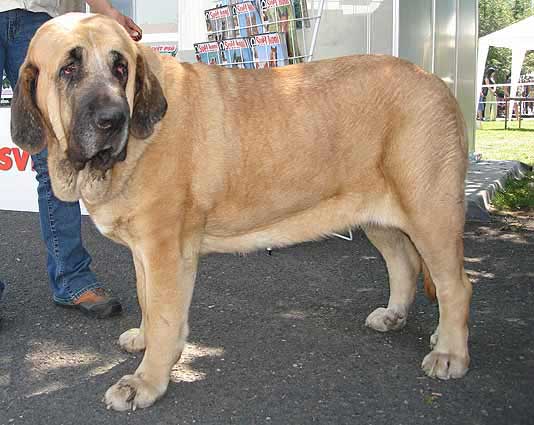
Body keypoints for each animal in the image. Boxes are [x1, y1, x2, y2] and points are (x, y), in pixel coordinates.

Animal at [9, 14, 474, 410]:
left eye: (120, 68)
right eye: (68, 70)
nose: (112, 119)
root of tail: (437, 81)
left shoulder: (165, 250)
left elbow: (164, 315)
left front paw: (146, 382)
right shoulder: (144, 251)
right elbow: (147, 302)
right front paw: (143, 338)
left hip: (429, 213)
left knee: (455, 285)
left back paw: (450, 352)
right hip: (378, 216)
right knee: (405, 263)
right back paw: (397, 316)